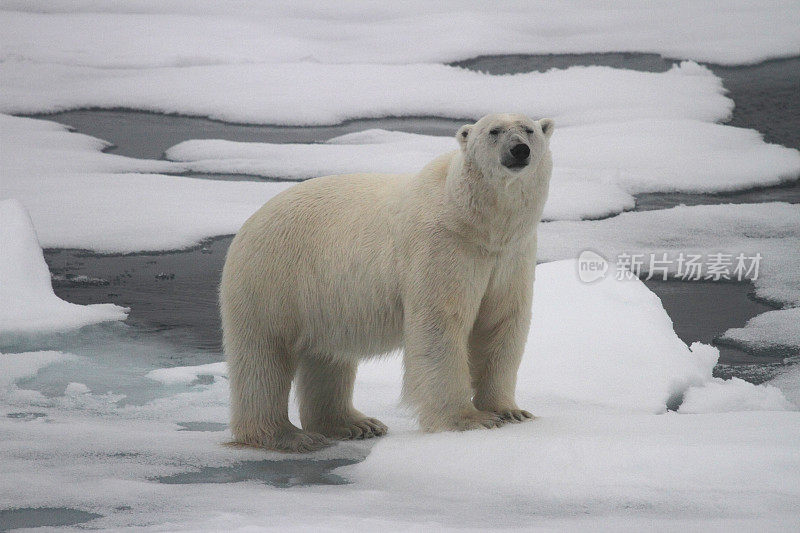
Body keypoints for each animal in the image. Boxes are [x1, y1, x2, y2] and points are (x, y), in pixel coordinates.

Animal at [222, 112, 552, 448]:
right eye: (494, 131)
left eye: (528, 129)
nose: (519, 150)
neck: (476, 223)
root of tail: (248, 225)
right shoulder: (442, 245)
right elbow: (441, 324)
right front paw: (468, 420)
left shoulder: (511, 255)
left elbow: (501, 321)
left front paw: (510, 411)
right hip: (273, 278)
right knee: (264, 355)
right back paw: (285, 435)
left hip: (322, 298)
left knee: (327, 355)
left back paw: (354, 424)